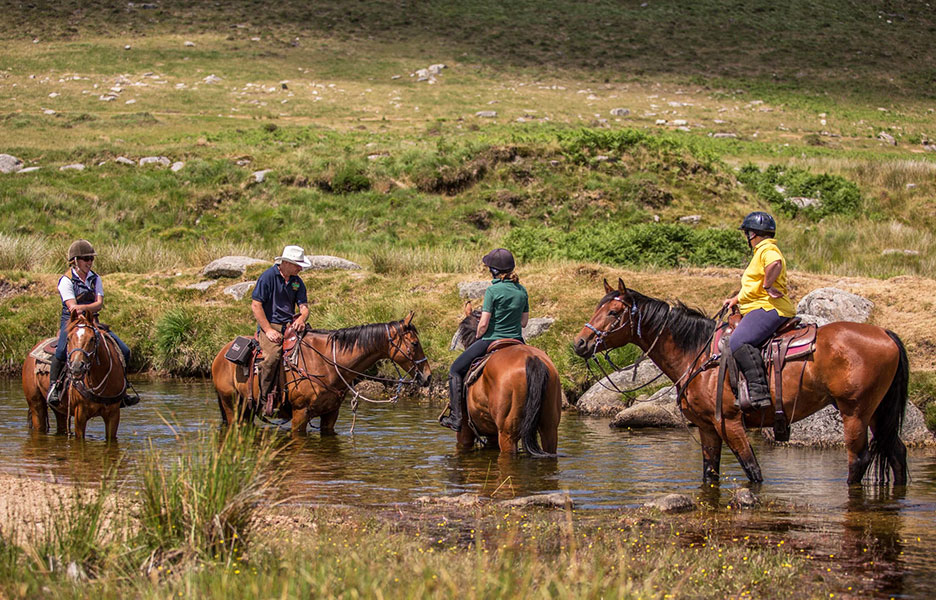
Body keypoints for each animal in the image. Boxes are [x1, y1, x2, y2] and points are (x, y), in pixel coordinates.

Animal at [22, 312, 127, 440]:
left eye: (92, 339)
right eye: (68, 338)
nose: (76, 367)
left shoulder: (113, 414)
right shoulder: (80, 413)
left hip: (59, 409)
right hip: (36, 404)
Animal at [212, 312, 432, 434]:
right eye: (414, 343)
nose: (428, 376)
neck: (328, 363)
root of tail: (220, 354)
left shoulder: (330, 414)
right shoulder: (300, 414)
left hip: (247, 408)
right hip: (230, 403)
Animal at [573, 279, 909, 486]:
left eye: (614, 312)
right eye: (597, 308)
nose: (580, 343)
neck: (698, 353)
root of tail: (885, 334)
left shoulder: (730, 423)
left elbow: (753, 470)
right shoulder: (708, 428)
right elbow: (710, 474)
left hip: (854, 412)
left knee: (859, 460)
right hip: (877, 413)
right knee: (897, 453)